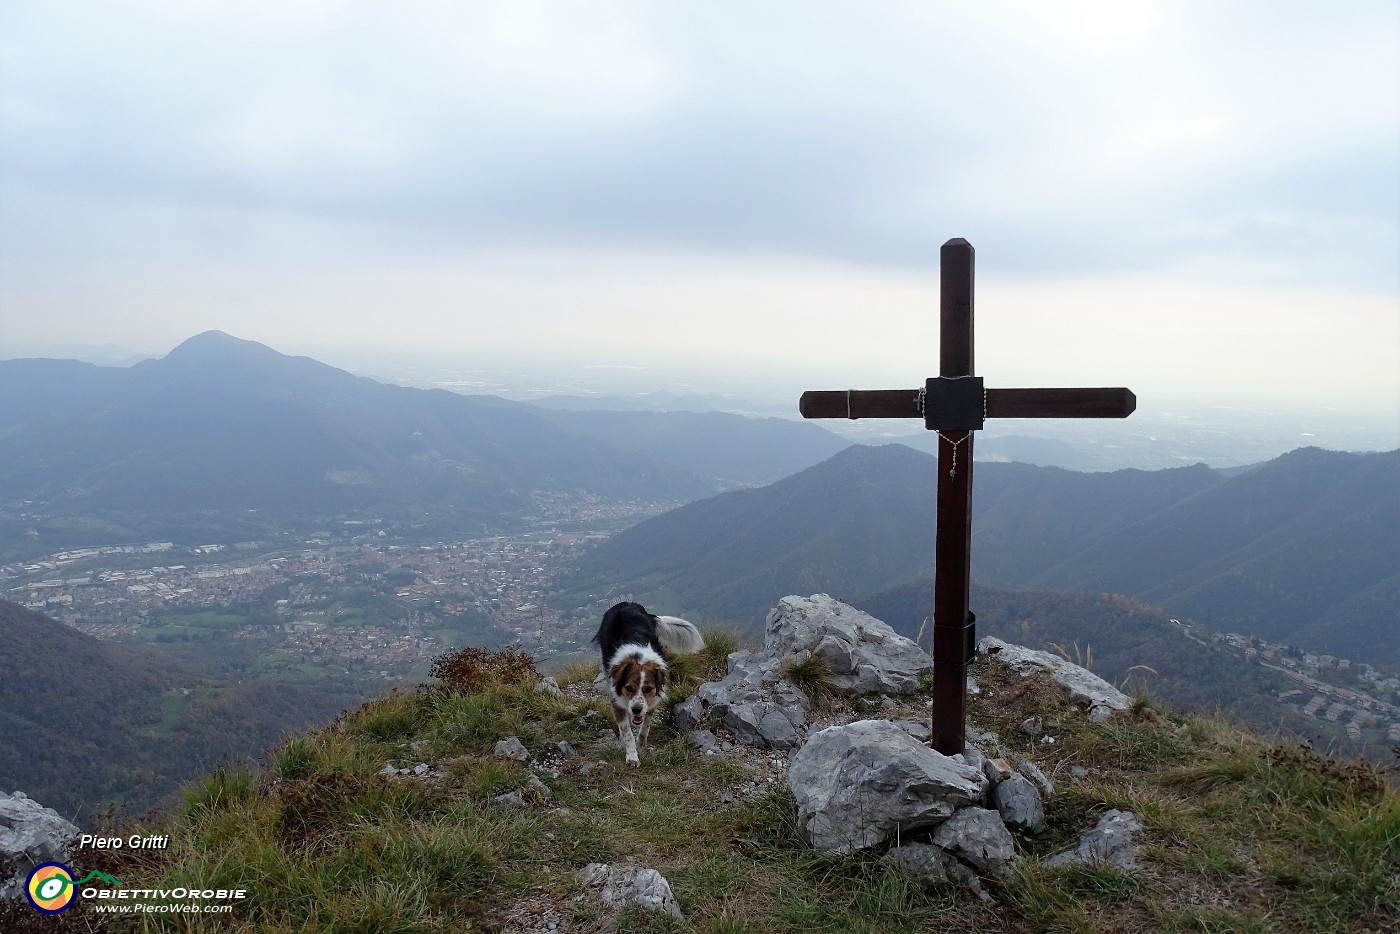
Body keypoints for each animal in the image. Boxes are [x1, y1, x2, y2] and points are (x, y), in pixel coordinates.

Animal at [590, 607, 705, 767]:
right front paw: (632, 756)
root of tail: (626, 603)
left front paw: (641, 745)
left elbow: (645, 726)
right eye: (628, 688)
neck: (639, 658)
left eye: (648, 689)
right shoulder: (617, 701)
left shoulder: (652, 703)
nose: (636, 709)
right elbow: (627, 732)